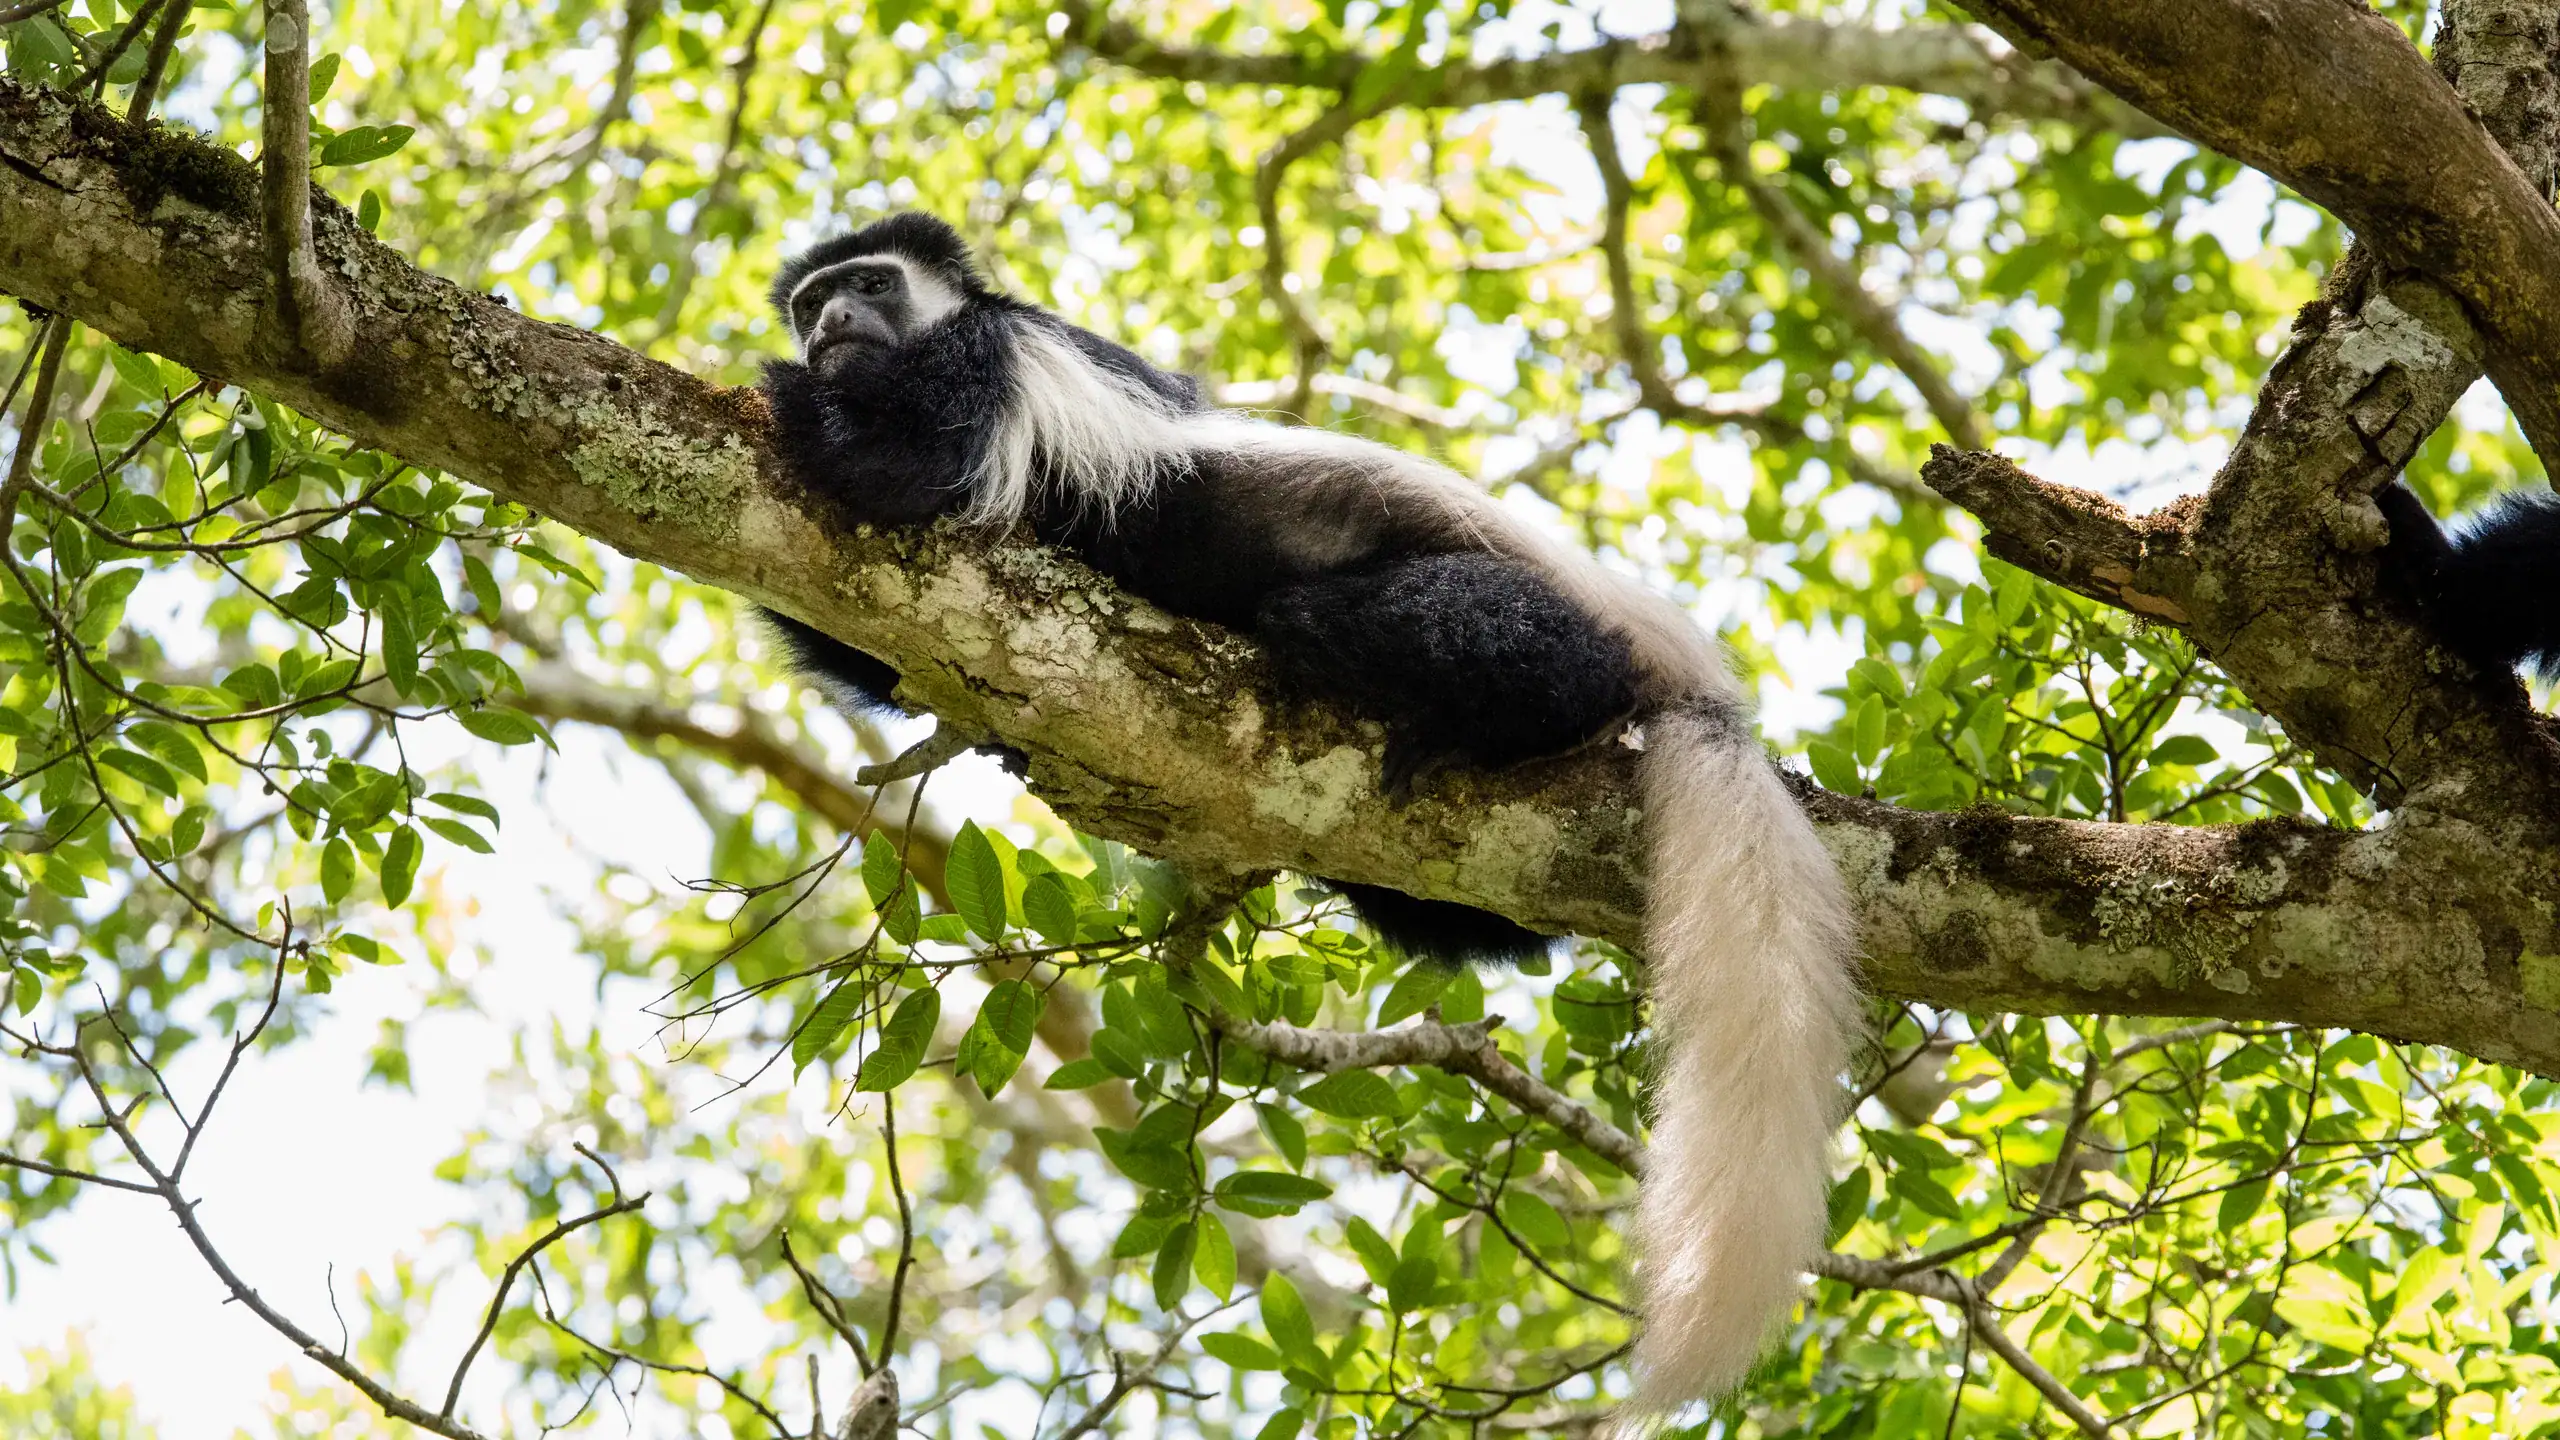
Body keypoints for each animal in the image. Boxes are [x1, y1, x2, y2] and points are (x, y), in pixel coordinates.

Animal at [753, 211, 1862, 1406]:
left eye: (870, 286)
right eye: (813, 300)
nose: (831, 323)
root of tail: (1685, 677)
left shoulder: (995, 363)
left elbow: (908, 477)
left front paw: (779, 385)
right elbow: (876, 644)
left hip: (1499, 606)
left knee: (1380, 624)